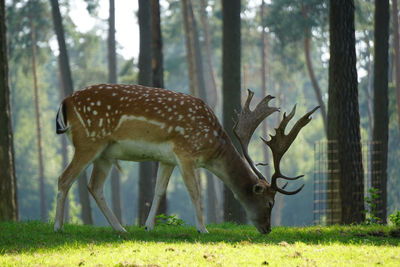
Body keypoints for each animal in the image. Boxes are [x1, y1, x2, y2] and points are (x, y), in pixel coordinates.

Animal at [54, 84, 318, 234]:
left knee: (94, 186)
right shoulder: (186, 153)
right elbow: (195, 191)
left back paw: (120, 229)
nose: (268, 229)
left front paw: (148, 227)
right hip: (89, 141)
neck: (211, 145)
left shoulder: (168, 159)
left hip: (106, 153)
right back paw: (58, 227)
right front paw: (203, 229)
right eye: (270, 203)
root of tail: (64, 103)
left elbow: (159, 191)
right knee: (64, 179)